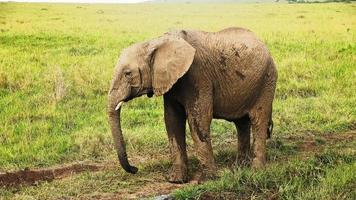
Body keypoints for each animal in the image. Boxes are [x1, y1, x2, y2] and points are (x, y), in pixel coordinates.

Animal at [107, 27, 276, 184]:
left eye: (128, 73)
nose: (135, 169)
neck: (156, 42)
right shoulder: (172, 82)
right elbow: (172, 121)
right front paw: (176, 180)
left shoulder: (199, 75)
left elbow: (198, 120)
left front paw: (207, 180)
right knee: (241, 123)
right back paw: (240, 168)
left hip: (267, 81)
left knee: (259, 121)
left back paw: (256, 171)